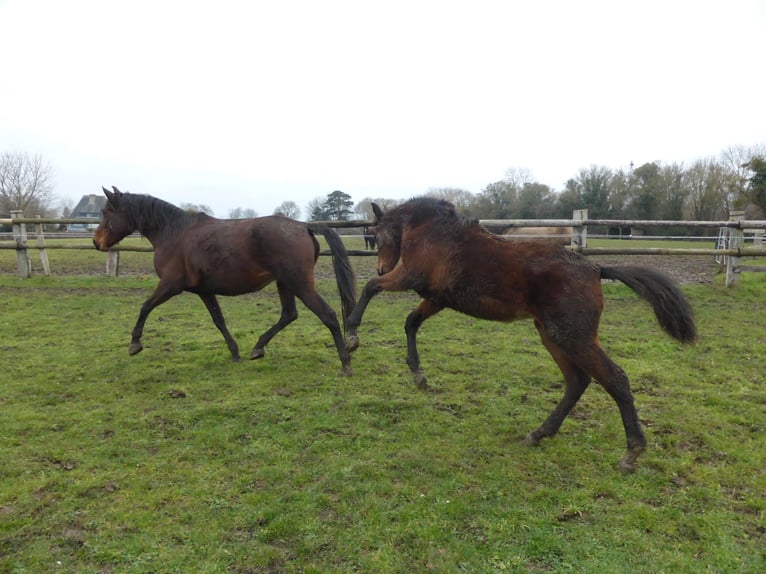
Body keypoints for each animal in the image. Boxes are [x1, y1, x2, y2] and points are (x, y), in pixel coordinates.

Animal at [94, 184, 358, 376]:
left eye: (107, 212)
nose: (96, 242)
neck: (174, 233)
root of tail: (304, 226)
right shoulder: (204, 291)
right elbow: (218, 321)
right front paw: (235, 352)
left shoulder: (171, 285)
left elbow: (145, 306)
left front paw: (135, 344)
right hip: (285, 283)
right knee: (289, 314)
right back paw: (257, 348)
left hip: (299, 283)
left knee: (328, 315)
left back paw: (345, 363)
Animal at [352, 198, 700, 472]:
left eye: (377, 234)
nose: (382, 267)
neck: (432, 232)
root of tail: (596, 269)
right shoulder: (437, 298)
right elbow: (411, 323)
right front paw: (419, 375)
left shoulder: (410, 276)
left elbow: (369, 288)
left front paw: (352, 335)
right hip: (551, 334)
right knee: (577, 381)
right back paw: (539, 434)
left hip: (572, 336)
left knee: (615, 379)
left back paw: (632, 452)